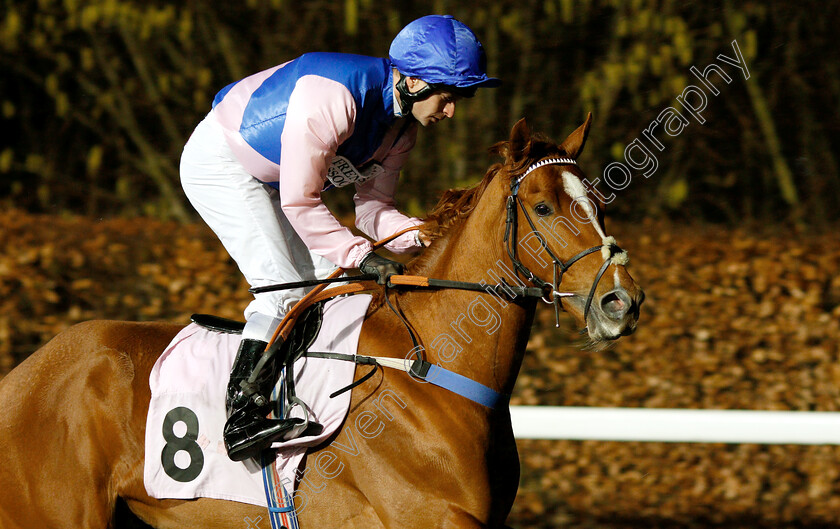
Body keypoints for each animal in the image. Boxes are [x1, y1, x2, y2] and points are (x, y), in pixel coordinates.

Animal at [0, 116, 644, 528]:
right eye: (543, 207)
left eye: (598, 201)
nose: (622, 302)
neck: (432, 368)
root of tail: (24, 375)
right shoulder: (431, 516)